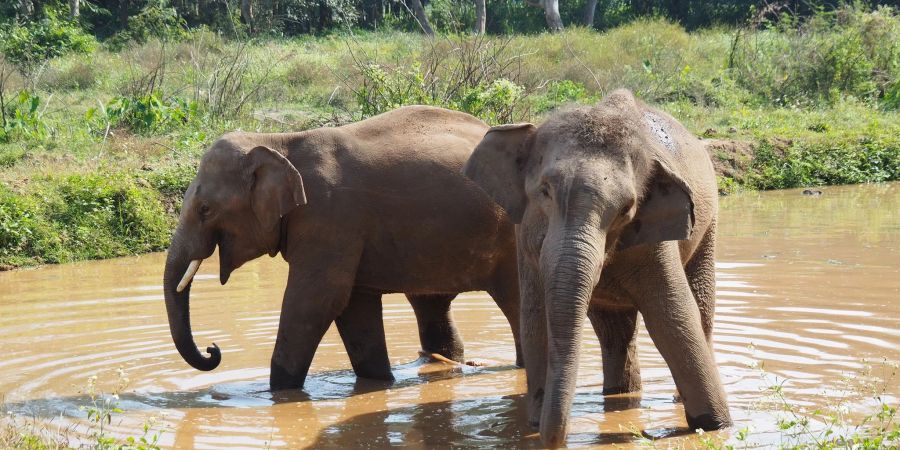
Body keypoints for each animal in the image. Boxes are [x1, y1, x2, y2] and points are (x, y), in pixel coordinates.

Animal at [164, 104, 524, 390]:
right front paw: (379, 382)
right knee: (430, 304)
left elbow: (317, 300)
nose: (213, 350)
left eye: (205, 209)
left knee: (515, 300)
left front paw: (277, 394)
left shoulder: (330, 216)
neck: (278, 141)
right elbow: (354, 305)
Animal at [464, 89, 732, 444]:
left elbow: (673, 317)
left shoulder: (654, 238)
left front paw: (716, 426)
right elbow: (536, 319)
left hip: (709, 225)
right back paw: (620, 395)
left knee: (699, 311)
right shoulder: (524, 238)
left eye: (626, 209)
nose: (556, 440)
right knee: (614, 333)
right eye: (545, 191)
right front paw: (533, 423)